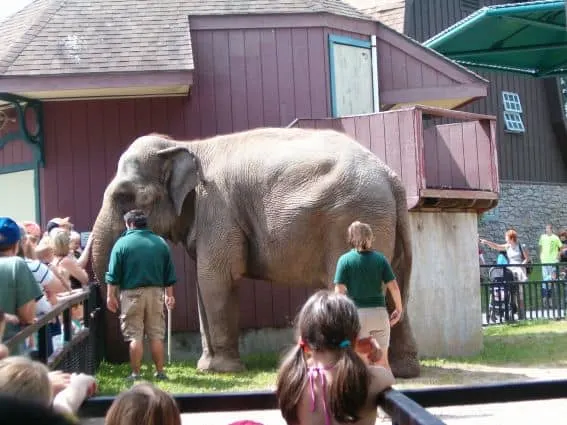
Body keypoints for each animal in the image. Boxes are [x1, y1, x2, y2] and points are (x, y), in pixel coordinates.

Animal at [92, 126, 422, 378]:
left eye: (124, 196)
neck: (187, 146)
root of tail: (391, 177)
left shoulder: (217, 209)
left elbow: (216, 279)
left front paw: (222, 370)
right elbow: (203, 285)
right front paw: (206, 368)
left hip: (353, 218)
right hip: (385, 225)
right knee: (397, 289)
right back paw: (401, 371)